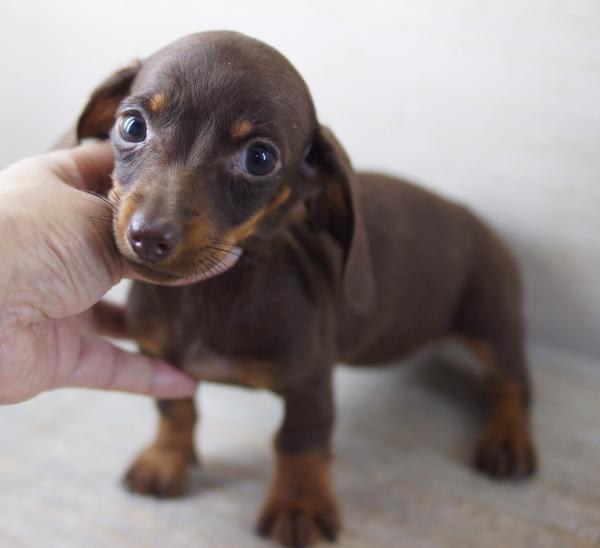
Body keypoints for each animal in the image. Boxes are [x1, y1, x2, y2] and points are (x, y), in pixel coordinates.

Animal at [76, 32, 540, 544]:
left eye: (259, 158)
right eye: (132, 125)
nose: (149, 236)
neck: (210, 295)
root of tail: (480, 222)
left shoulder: (309, 383)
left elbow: (298, 444)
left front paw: (297, 507)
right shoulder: (161, 362)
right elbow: (175, 413)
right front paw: (165, 462)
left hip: (492, 320)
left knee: (511, 383)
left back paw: (508, 439)